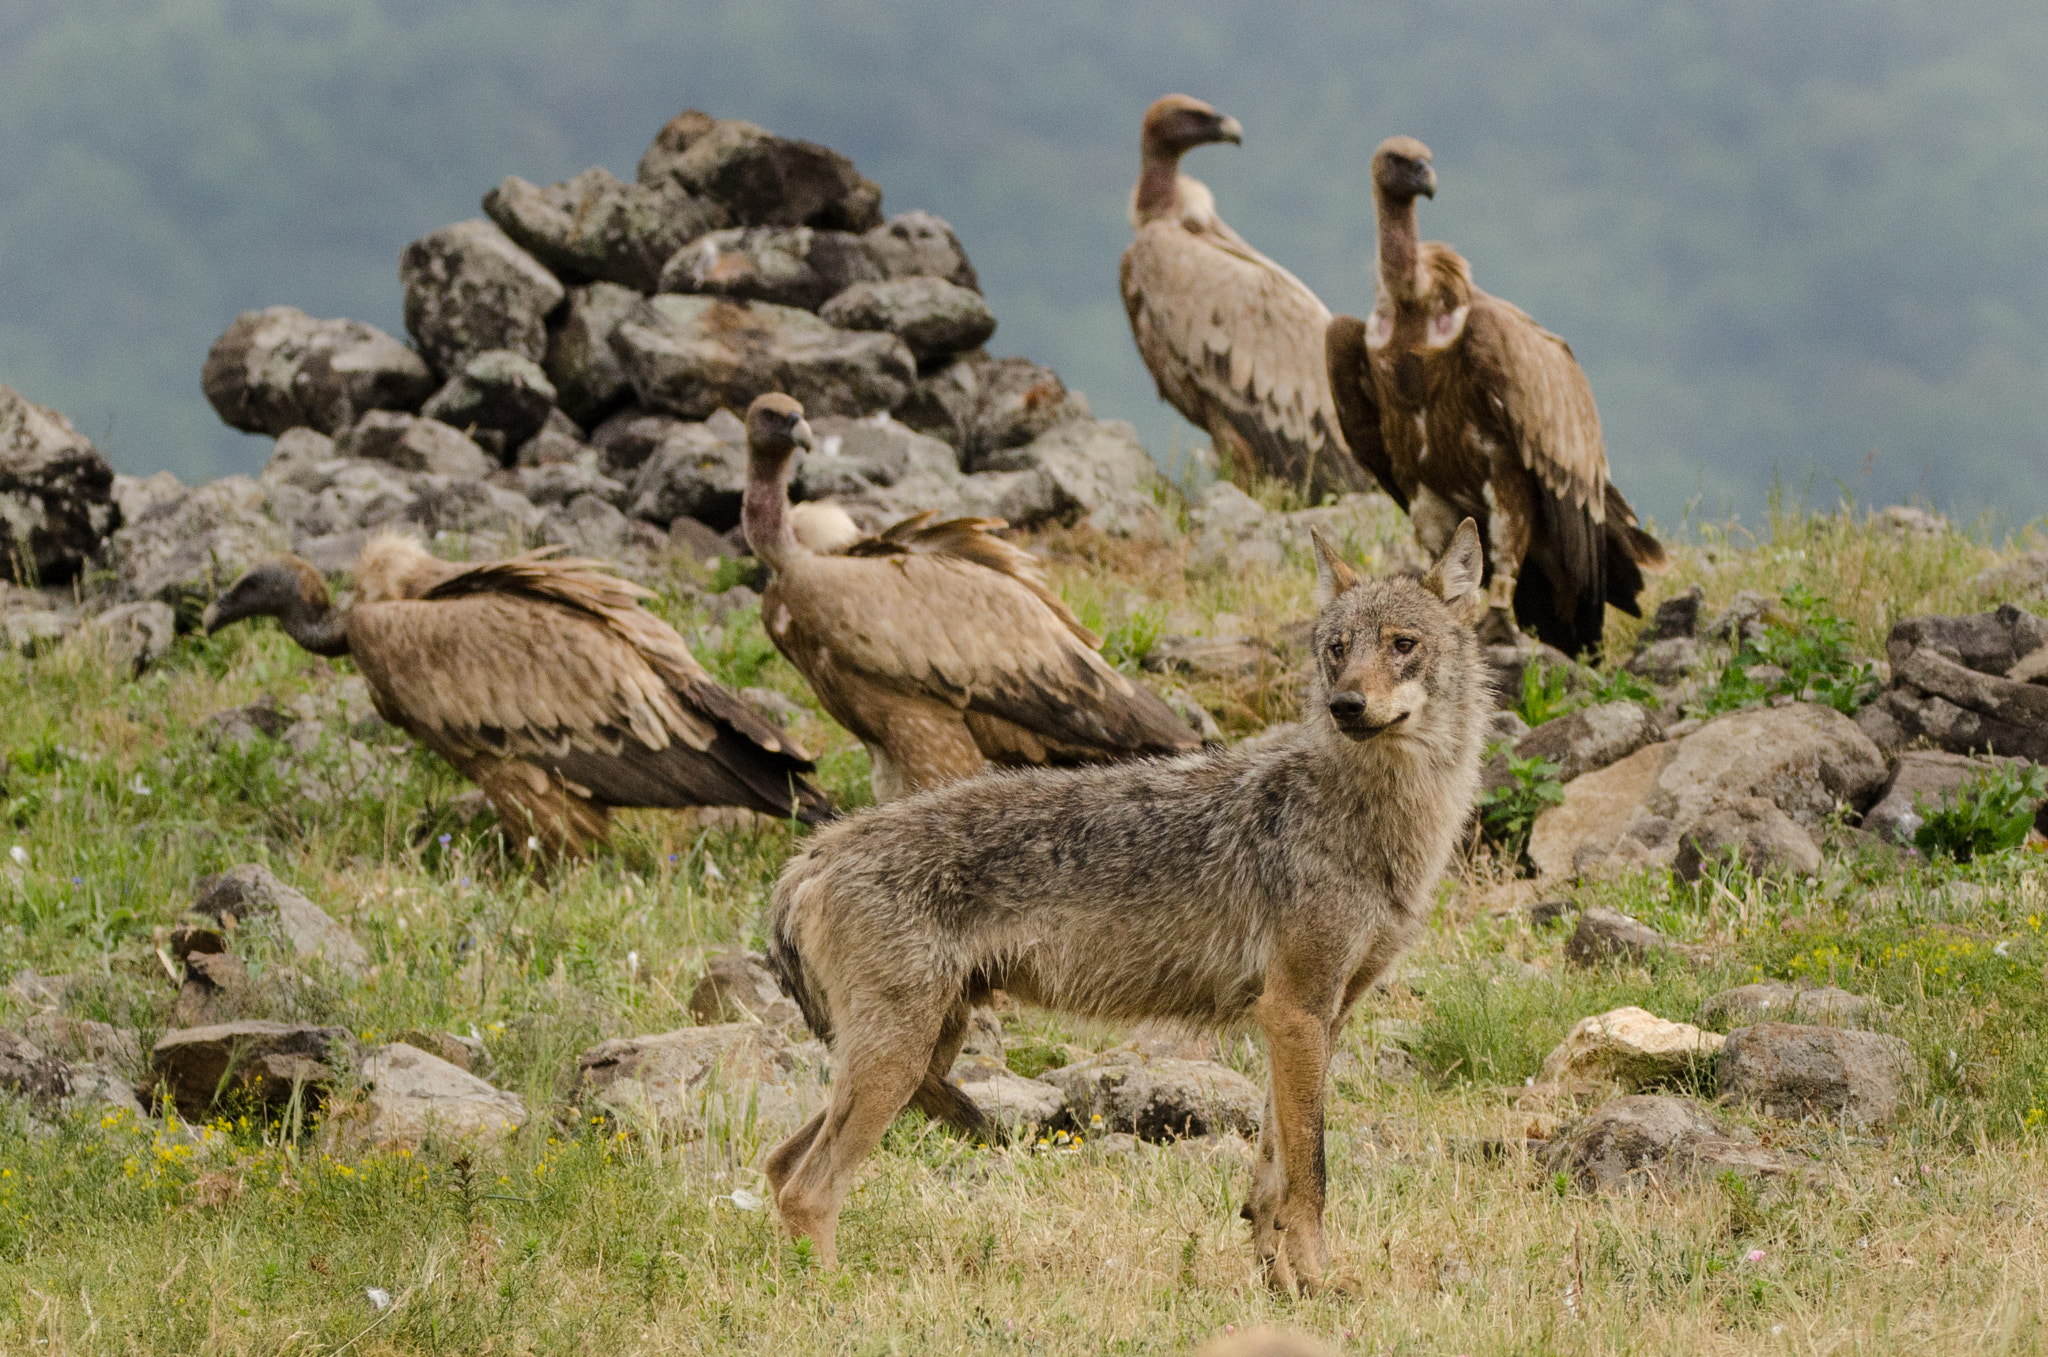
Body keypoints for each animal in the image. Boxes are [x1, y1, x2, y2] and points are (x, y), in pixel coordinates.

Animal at [763, 519, 1491, 1293]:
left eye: (1402, 643)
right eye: (1337, 648)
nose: (1346, 705)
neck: (1372, 819)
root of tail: (816, 853)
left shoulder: (1316, 1017)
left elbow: (1272, 1176)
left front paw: (1281, 1283)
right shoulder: (1297, 1011)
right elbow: (1311, 1176)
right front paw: (1322, 1288)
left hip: (920, 1052)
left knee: (779, 1164)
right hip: (898, 1061)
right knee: (808, 1186)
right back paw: (833, 1296)